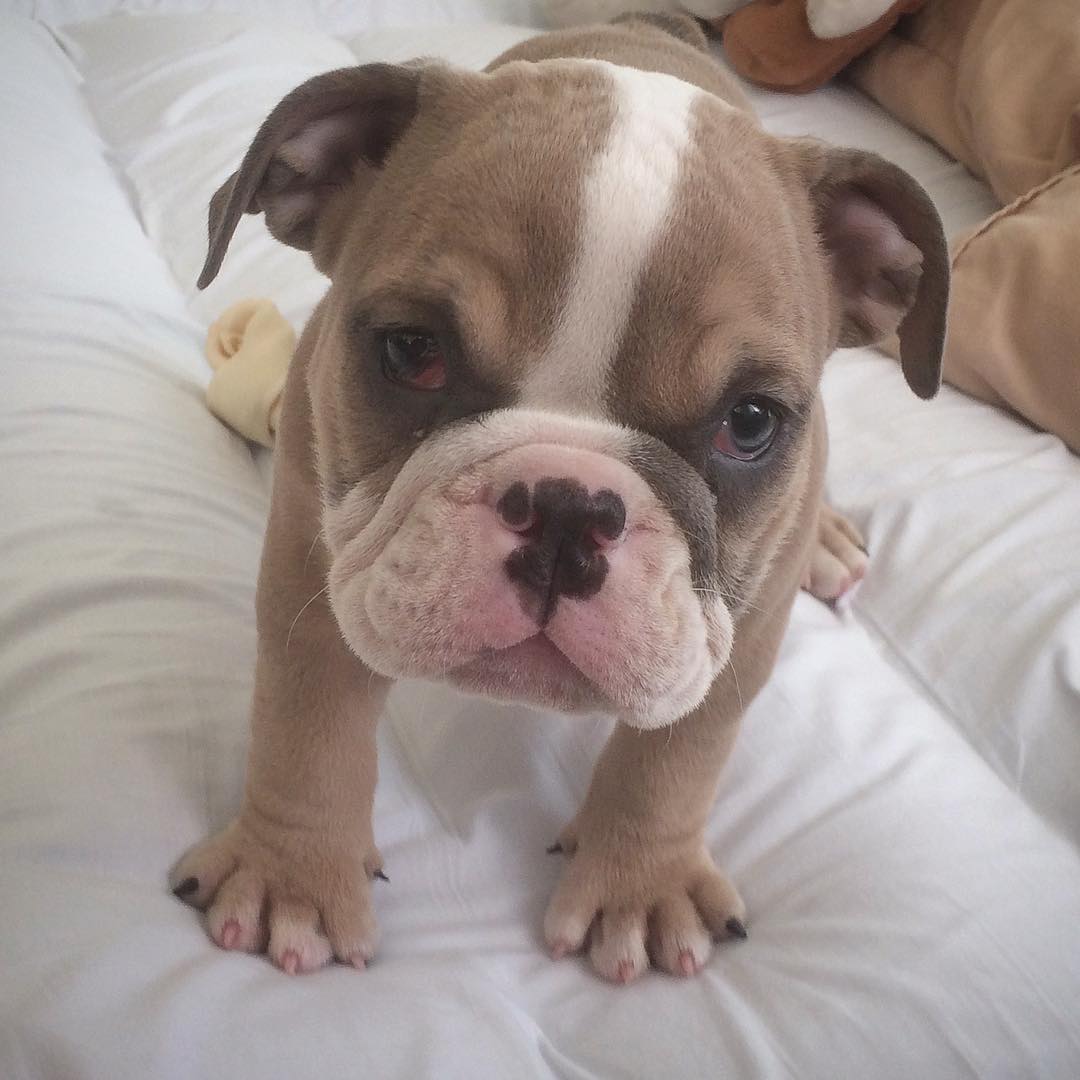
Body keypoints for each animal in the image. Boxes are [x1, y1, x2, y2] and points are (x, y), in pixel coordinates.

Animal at [168, 12, 946, 984]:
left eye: (751, 422)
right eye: (413, 351)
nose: (570, 508)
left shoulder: (742, 625)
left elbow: (678, 755)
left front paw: (641, 884)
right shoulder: (311, 563)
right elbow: (307, 722)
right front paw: (292, 876)